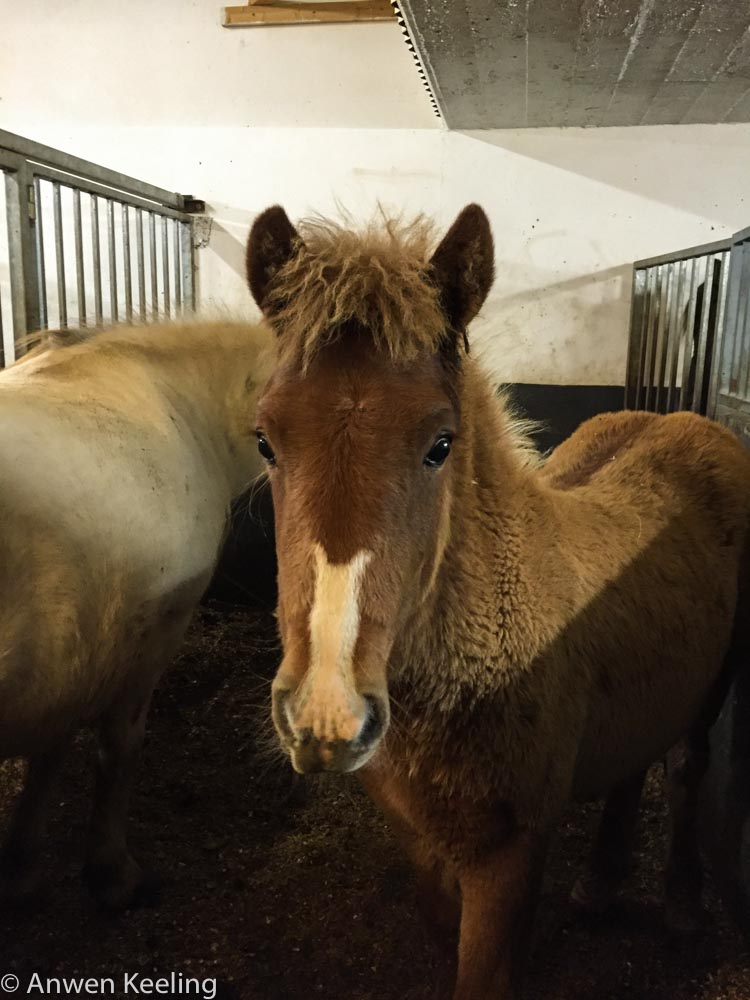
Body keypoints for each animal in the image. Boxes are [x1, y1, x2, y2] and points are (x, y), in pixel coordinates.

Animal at [0, 319, 274, 908]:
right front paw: (113, 875)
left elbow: (52, 748)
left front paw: (22, 864)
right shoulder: (152, 635)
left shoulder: (73, 650)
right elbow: (118, 748)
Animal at [246, 204, 750, 1000]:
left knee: (687, 766)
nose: (326, 716)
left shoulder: (509, 857)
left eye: (440, 443)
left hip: (719, 678)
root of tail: (689, 422)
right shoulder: (421, 841)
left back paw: (681, 904)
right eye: (265, 439)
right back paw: (600, 882)